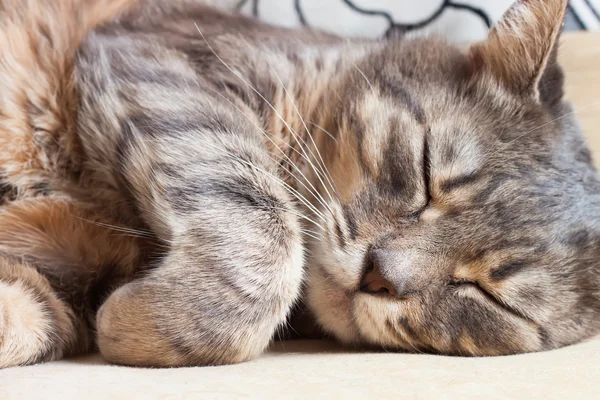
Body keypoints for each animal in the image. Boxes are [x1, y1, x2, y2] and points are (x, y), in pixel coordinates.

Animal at [1, 0, 600, 368]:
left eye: (489, 295)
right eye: (428, 171)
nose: (380, 276)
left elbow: (35, 315)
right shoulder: (162, 59)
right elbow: (264, 234)